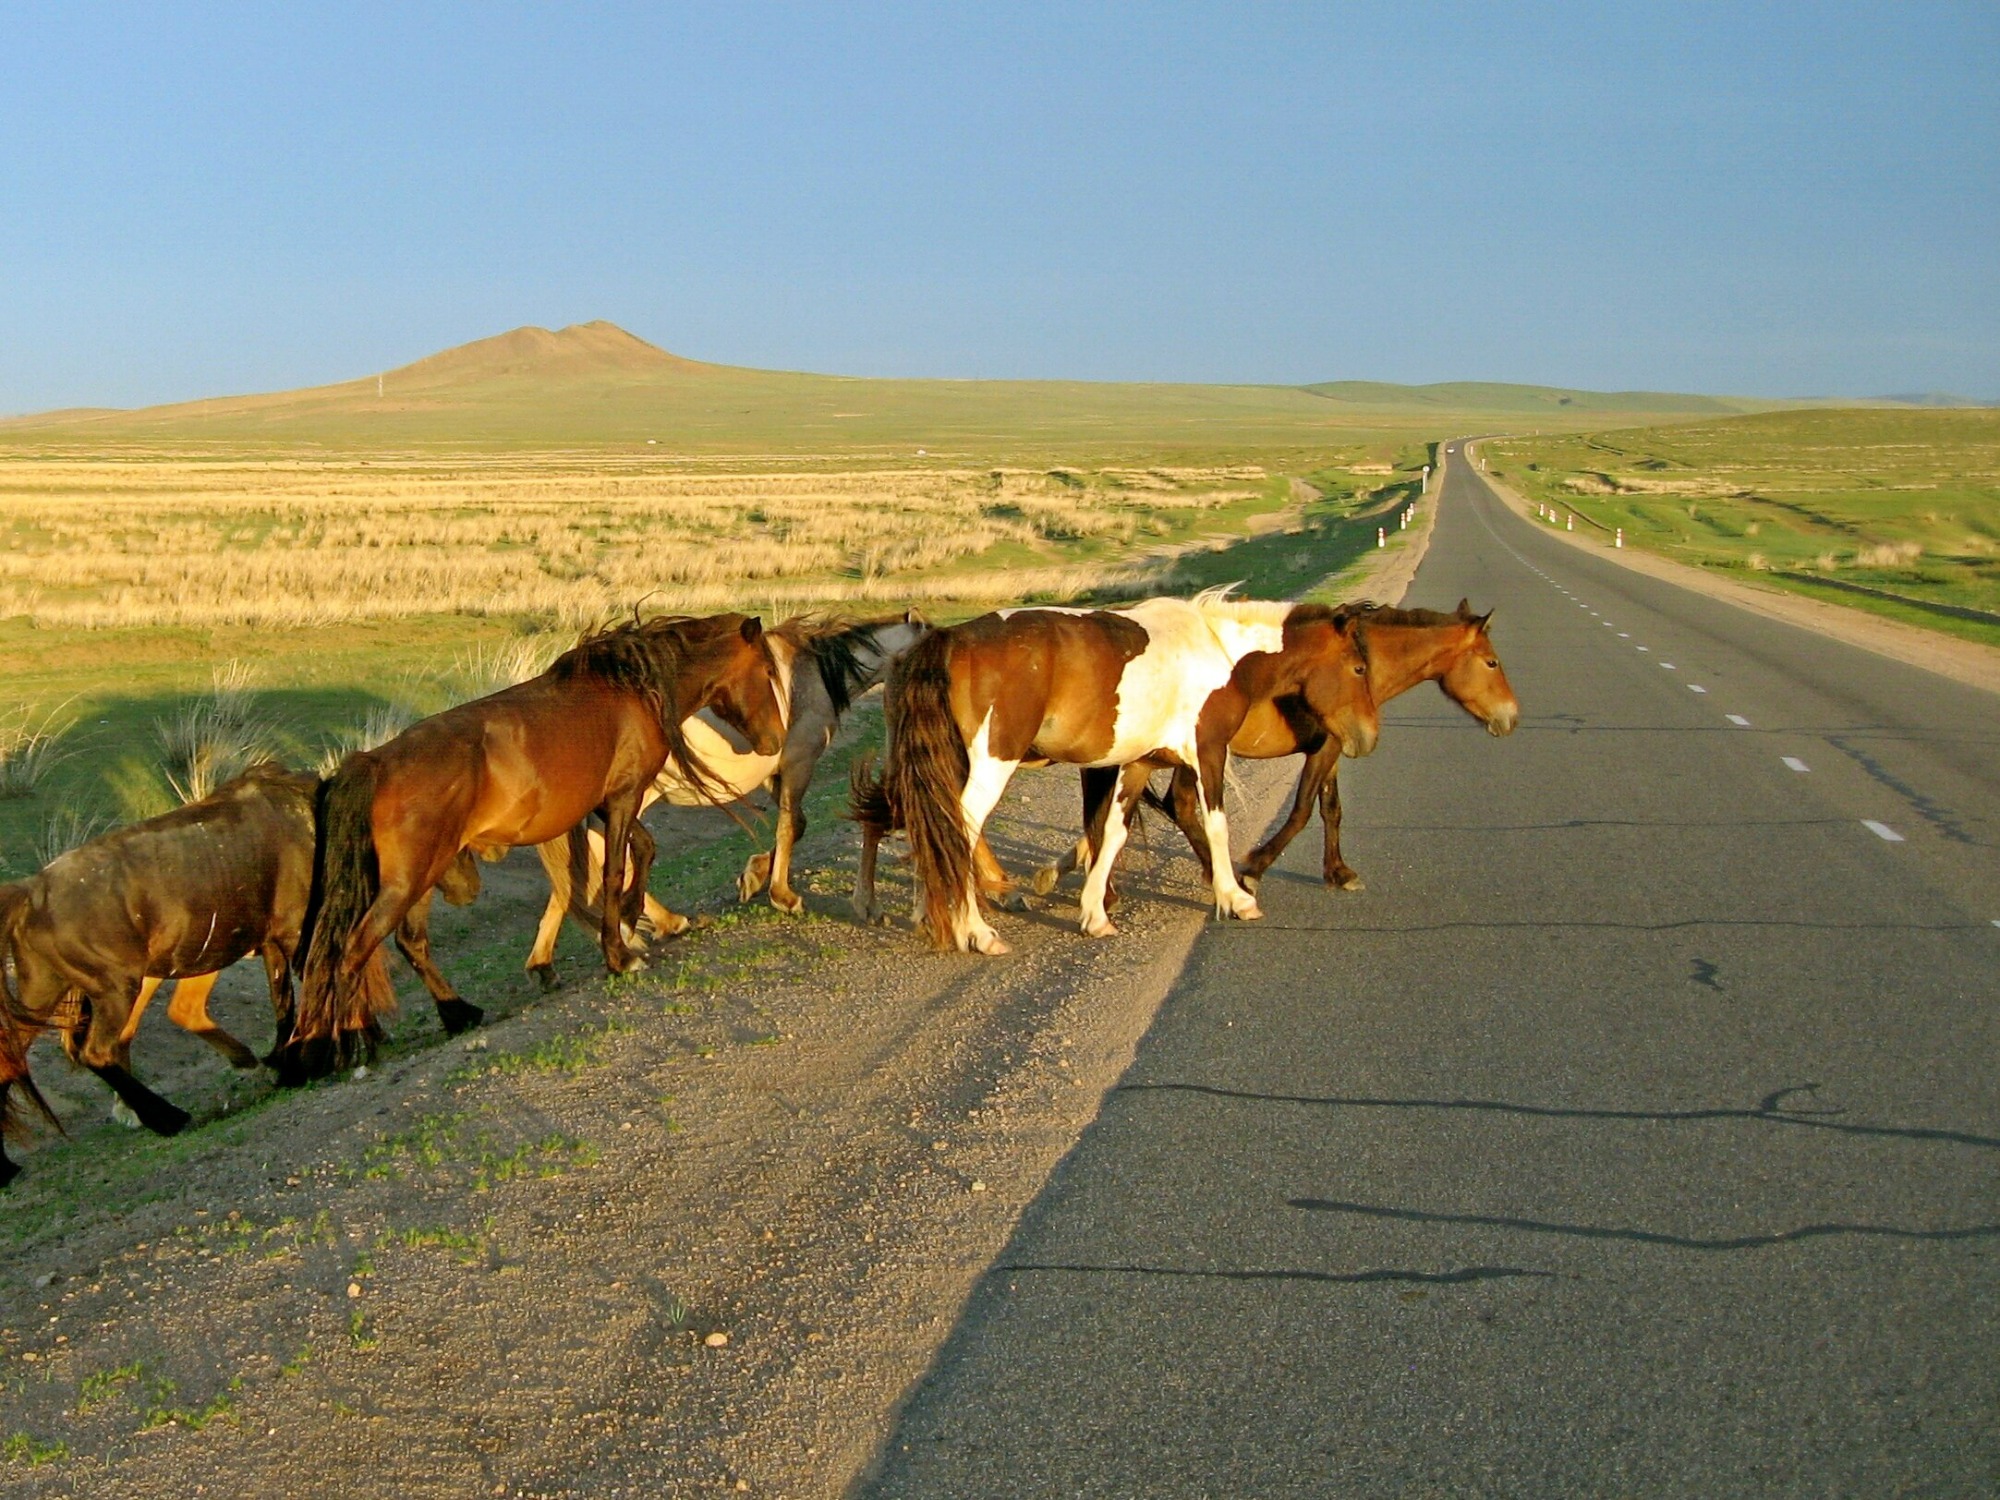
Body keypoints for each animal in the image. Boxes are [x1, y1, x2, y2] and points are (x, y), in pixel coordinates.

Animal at [279, 613, 785, 1082]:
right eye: (766, 669)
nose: (775, 739)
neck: (630, 688)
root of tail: (376, 761)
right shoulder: (623, 797)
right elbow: (613, 868)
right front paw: (620, 953)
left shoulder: (606, 803)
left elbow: (642, 850)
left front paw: (631, 916)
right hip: (409, 880)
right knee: (354, 950)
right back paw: (355, 1041)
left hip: (422, 876)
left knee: (409, 942)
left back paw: (457, 1013)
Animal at [523, 611, 929, 990]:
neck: (812, 676)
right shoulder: (798, 764)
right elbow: (789, 827)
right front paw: (782, 895)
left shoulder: (775, 775)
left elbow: (796, 826)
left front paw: (754, 876)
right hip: (631, 800)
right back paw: (656, 924)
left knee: (574, 876)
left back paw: (549, 962)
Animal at [858, 591, 1378, 953]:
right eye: (1358, 667)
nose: (1367, 738)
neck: (1220, 653)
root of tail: (947, 640)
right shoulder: (1208, 752)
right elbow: (1216, 826)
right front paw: (1235, 896)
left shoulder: (1138, 763)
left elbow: (1112, 831)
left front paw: (1095, 912)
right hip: (988, 767)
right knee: (956, 832)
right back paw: (976, 931)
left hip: (929, 765)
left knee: (917, 825)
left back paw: (927, 914)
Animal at [1036, 598, 1519, 895]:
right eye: (1492, 662)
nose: (1511, 718)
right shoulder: (1325, 749)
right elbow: (1303, 810)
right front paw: (1253, 868)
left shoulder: (1334, 747)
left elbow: (1331, 809)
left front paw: (1338, 871)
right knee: (1176, 805)